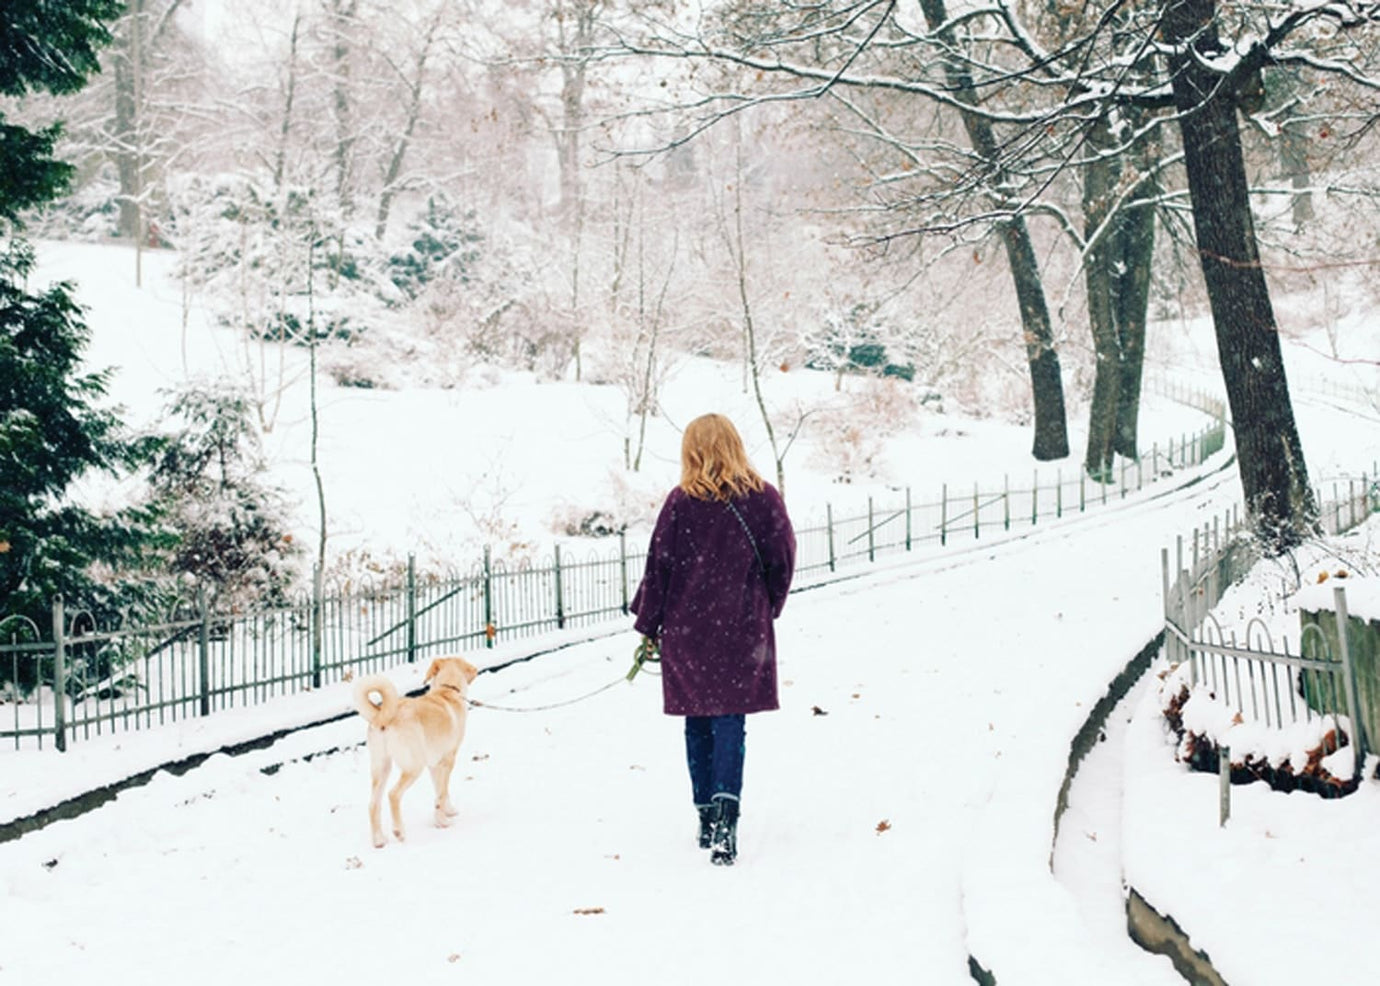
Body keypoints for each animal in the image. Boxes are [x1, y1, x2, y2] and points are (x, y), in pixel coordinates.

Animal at [350, 651, 480, 845]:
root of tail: (383, 715)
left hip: (382, 767)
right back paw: (399, 832)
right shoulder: (448, 760)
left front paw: (446, 812)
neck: (447, 690)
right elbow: (442, 792)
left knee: (373, 804)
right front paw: (443, 821)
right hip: (413, 767)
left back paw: (379, 840)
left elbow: (439, 791)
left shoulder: (434, 764)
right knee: (393, 795)